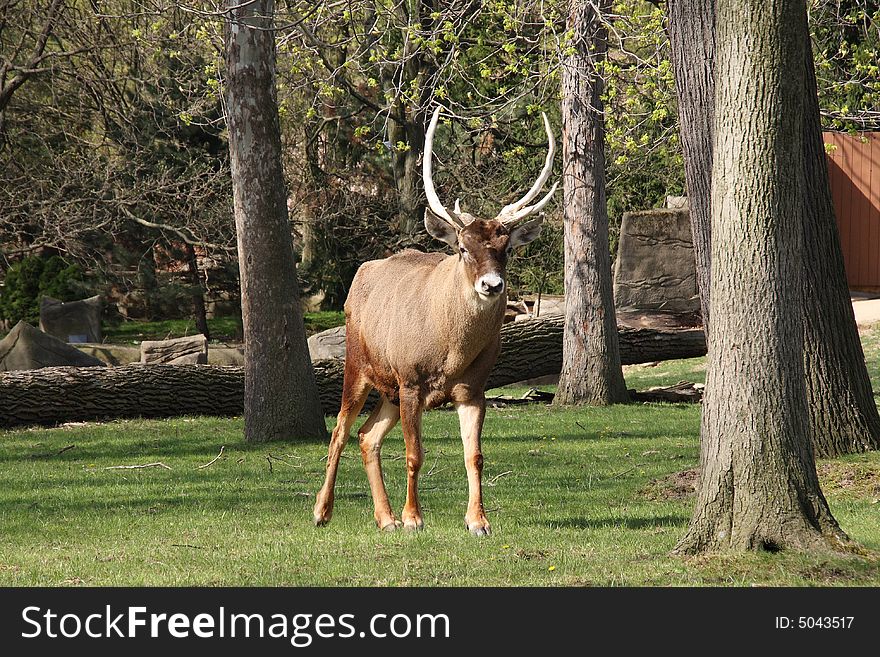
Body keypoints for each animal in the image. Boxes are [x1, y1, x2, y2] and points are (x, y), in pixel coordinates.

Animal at [312, 107, 552, 536]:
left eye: (507, 248)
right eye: (462, 248)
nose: (492, 285)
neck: (450, 352)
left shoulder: (473, 388)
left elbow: (475, 456)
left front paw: (478, 521)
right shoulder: (410, 380)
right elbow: (414, 454)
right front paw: (413, 518)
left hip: (388, 390)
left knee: (367, 435)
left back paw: (384, 518)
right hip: (360, 365)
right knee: (341, 430)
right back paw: (323, 511)